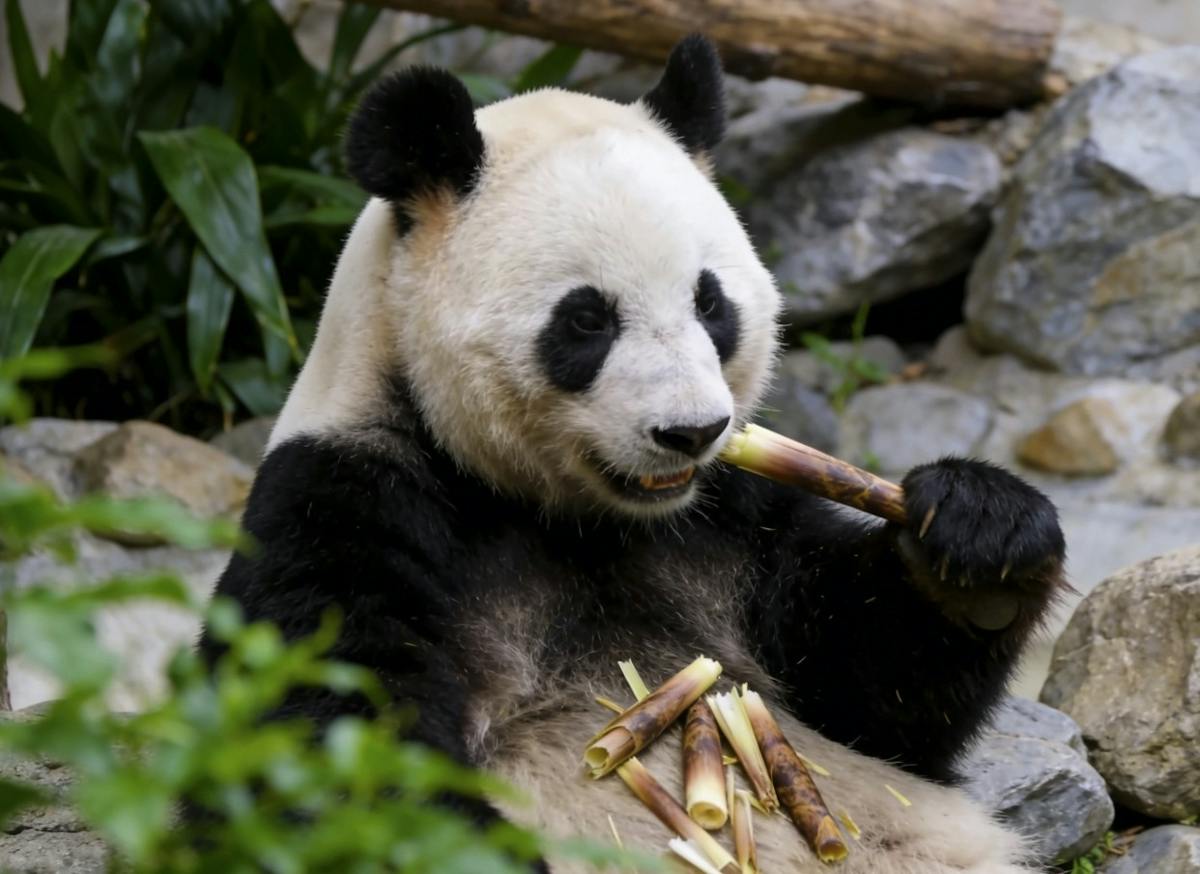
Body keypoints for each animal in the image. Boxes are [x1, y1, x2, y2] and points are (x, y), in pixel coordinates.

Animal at [203, 35, 1066, 874]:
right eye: (587, 319)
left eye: (710, 302)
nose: (691, 432)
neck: (576, 513)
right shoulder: (346, 497)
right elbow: (324, 735)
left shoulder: (734, 517)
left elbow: (871, 691)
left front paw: (978, 539)